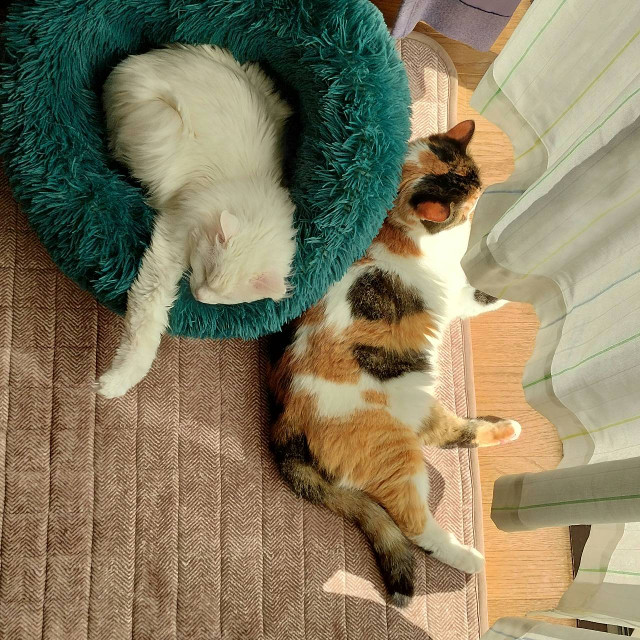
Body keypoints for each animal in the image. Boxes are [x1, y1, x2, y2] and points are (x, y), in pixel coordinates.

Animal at [96, 44, 296, 398]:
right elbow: (146, 319)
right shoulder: (173, 236)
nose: (200, 297)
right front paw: (118, 381)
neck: (246, 184)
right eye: (205, 272)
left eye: (225, 299)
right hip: (163, 127)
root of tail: (135, 62)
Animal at [268, 120, 521, 606]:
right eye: (470, 198)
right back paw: (470, 558)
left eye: (476, 179)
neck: (398, 221)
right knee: (414, 523)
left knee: (451, 433)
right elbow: (487, 291)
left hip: (417, 403)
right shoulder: (460, 293)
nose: (485, 195)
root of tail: (287, 419)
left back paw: (506, 430)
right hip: (398, 453)